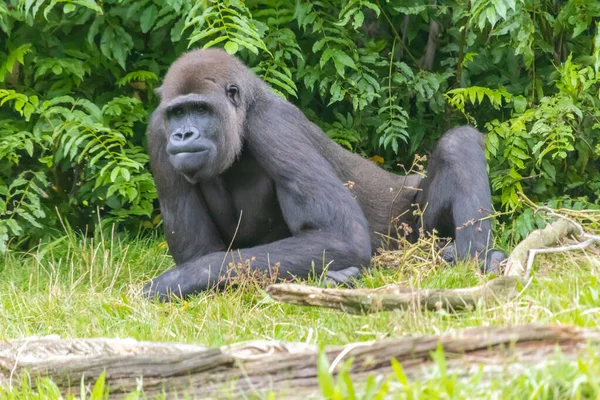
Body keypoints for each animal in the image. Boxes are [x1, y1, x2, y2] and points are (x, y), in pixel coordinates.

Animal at [143, 47, 504, 300]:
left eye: (200, 109)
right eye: (177, 114)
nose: (183, 135)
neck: (243, 113)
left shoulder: (274, 125)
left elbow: (343, 236)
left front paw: (178, 280)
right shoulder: (157, 133)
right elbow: (201, 251)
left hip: (410, 232)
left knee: (459, 143)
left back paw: (478, 258)